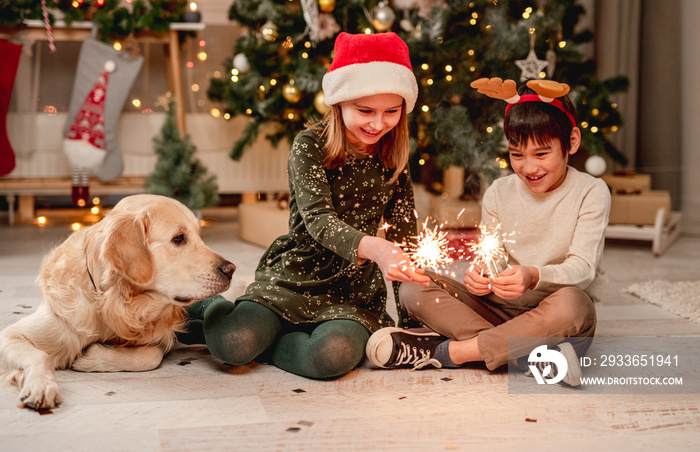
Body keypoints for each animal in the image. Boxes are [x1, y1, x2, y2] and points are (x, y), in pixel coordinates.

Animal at [0, 193, 235, 410]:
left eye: (199, 235)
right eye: (178, 238)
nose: (230, 269)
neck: (112, 304)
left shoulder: (162, 335)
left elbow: (152, 355)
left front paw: (91, 357)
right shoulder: (15, 334)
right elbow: (40, 356)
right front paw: (41, 385)